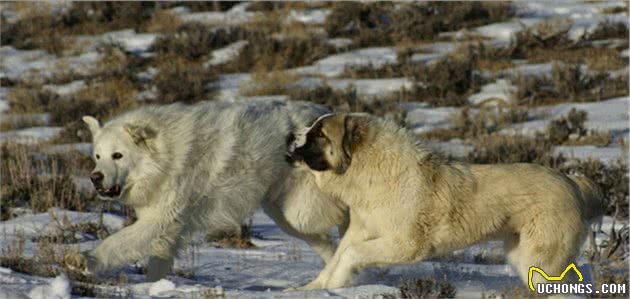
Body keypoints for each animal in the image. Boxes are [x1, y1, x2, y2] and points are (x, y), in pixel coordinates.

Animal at [78, 101, 350, 282]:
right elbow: (156, 265)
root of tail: (321, 112)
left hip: (301, 212)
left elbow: (113, 244)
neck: (164, 158)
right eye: (98, 157)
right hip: (289, 217)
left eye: (118, 155)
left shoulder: (159, 222)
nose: (95, 178)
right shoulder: (165, 229)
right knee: (328, 244)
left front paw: (85, 262)